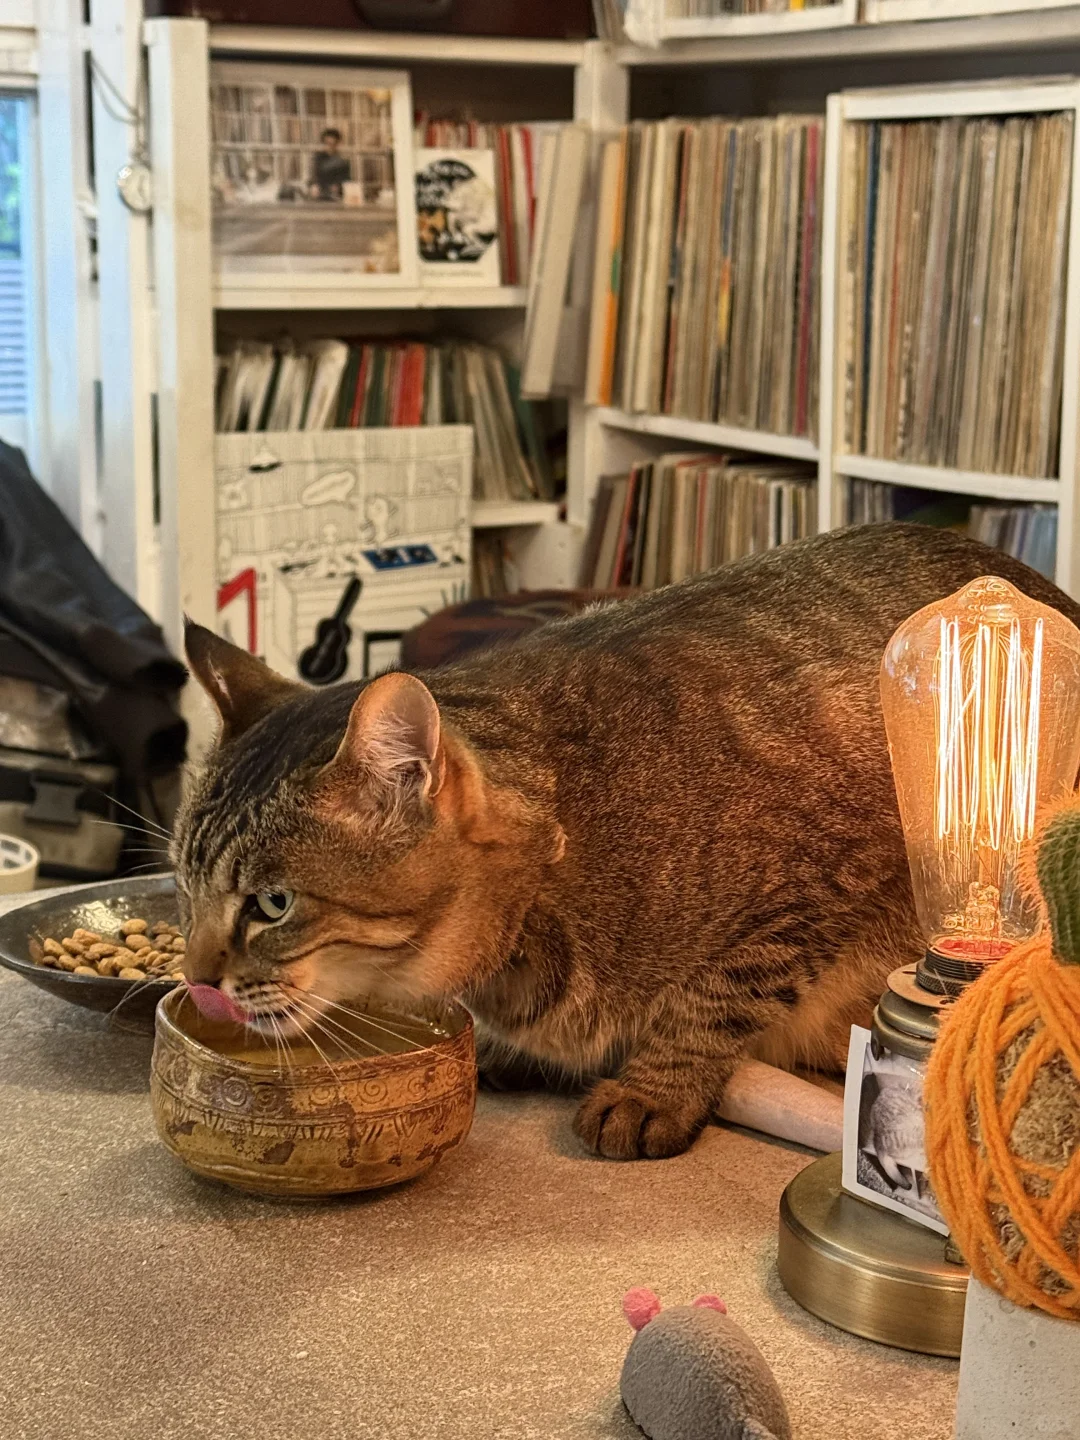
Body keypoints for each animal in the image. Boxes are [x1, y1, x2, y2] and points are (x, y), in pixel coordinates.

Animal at [173, 523, 1080, 1161]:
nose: (194, 977)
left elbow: (717, 997)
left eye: (273, 904)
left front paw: (654, 1088)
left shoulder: (819, 877)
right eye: (184, 890)